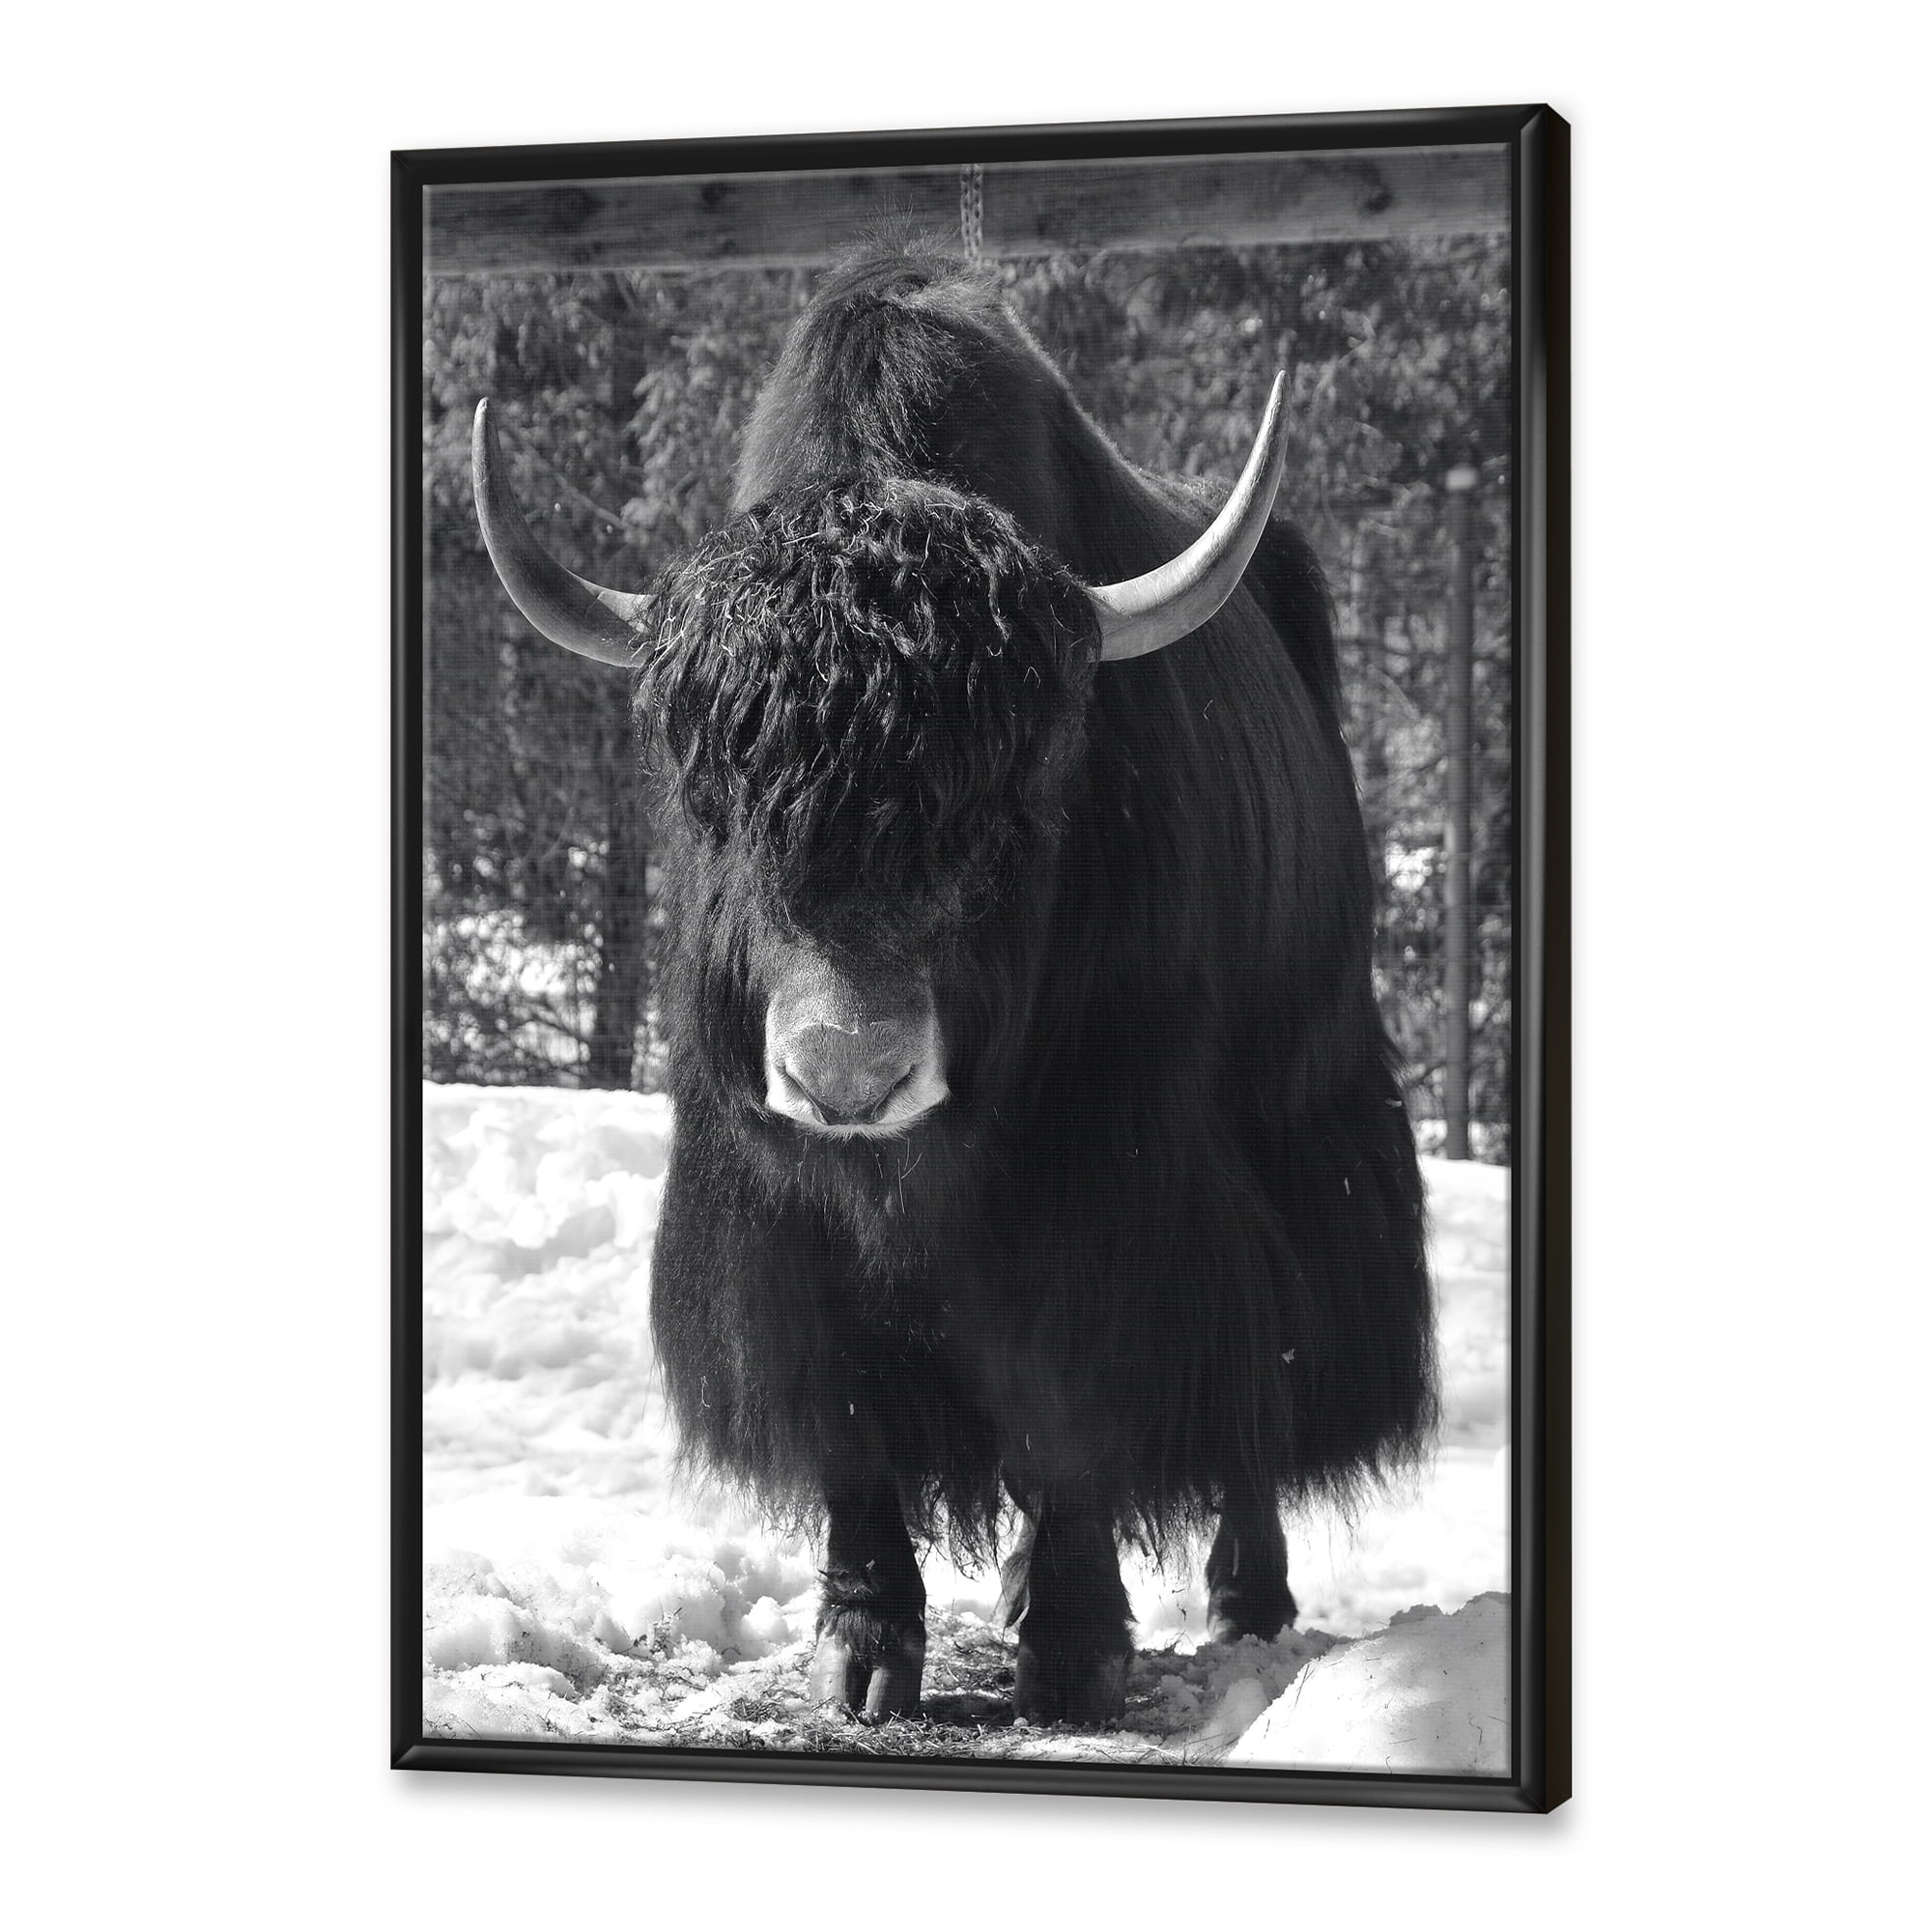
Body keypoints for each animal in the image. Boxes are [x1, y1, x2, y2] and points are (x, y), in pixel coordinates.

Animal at [469, 240, 1436, 1727]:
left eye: (1012, 803)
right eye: (716, 799)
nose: (846, 1077)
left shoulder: (1111, 1187)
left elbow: (1075, 1397)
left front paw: (1076, 1653)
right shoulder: (772, 1214)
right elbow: (846, 1414)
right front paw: (862, 1649)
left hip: (1305, 1116)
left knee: (1261, 1379)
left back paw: (1245, 1600)